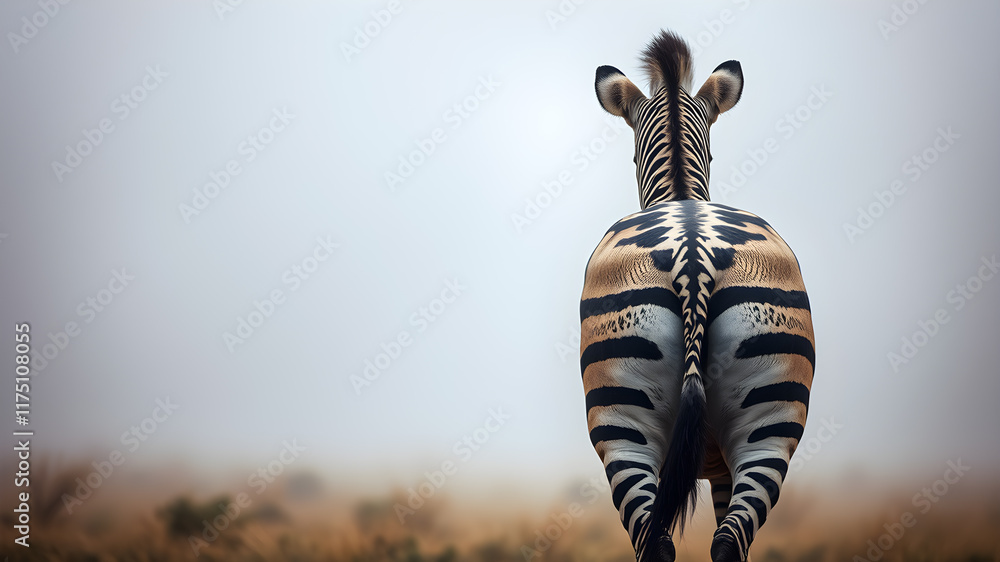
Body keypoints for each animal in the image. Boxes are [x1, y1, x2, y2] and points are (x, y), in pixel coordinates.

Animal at [580, 30, 815, 562]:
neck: (682, 194)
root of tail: (693, 254)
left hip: (624, 430)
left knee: (661, 543)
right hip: (765, 428)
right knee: (726, 541)